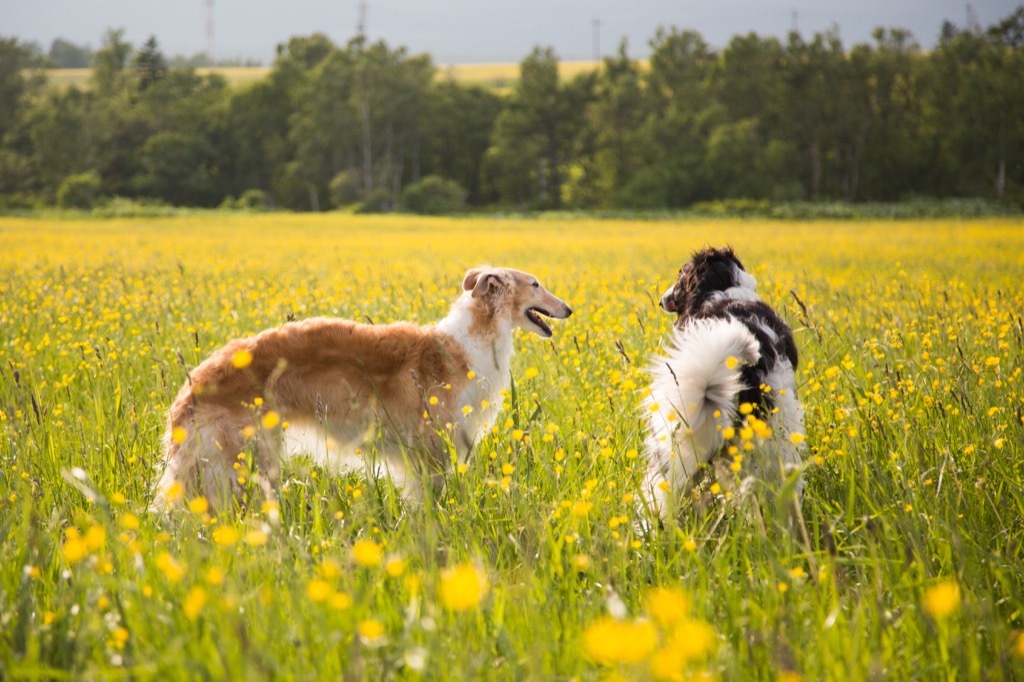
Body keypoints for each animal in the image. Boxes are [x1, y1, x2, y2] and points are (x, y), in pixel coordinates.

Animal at [149, 266, 577, 509]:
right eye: (536, 284)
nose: (569, 308)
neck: (468, 342)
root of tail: (192, 387)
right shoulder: (431, 446)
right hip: (242, 458)